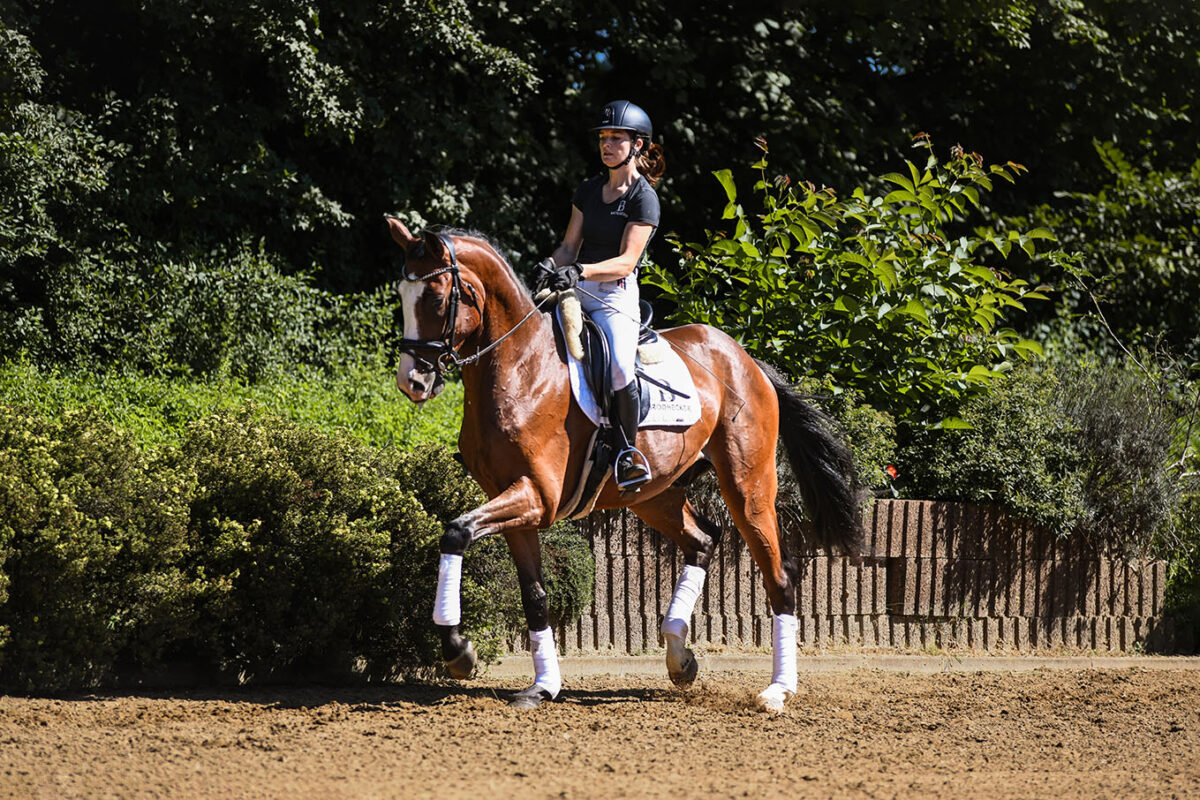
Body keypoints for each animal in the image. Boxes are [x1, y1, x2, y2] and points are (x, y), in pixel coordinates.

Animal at [384, 215, 864, 710]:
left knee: (778, 576)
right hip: (654, 495)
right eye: (401, 294)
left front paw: (458, 652)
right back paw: (679, 656)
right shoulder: (515, 504)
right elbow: (533, 595)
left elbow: (456, 532)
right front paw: (542, 686)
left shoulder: (537, 497)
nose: (411, 381)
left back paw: (777, 689)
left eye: (436, 298)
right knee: (702, 540)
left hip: (746, 487)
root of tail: (746, 360)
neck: (520, 369)